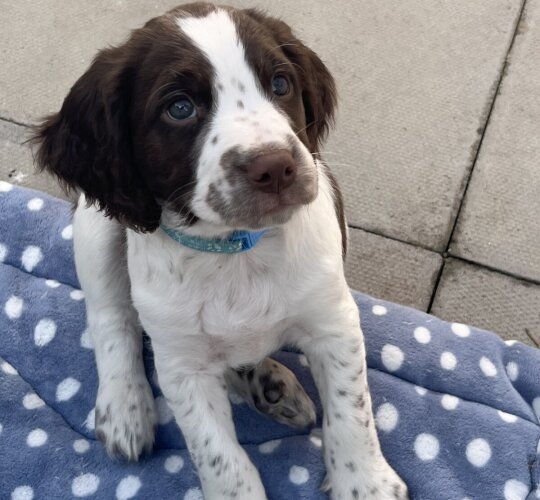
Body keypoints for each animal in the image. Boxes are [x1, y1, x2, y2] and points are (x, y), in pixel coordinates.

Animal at [35, 3, 408, 500]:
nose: (276, 166)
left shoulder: (333, 322)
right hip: (98, 227)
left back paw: (269, 384)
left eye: (281, 84)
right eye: (179, 108)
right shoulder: (183, 369)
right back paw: (125, 407)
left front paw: (365, 483)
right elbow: (221, 459)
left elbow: (352, 414)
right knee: (111, 317)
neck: (235, 249)